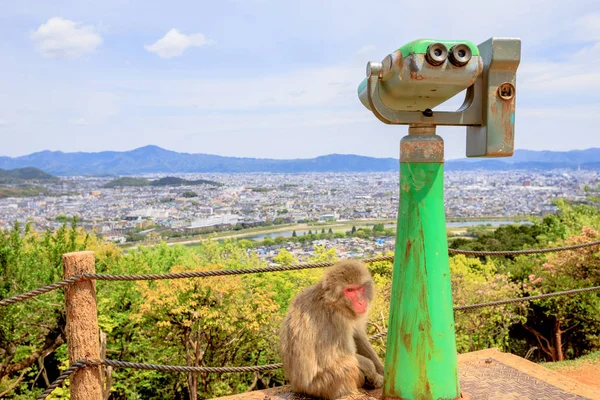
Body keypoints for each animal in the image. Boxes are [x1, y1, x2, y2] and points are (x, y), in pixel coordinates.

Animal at [278, 258, 382, 398]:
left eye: (360, 288)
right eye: (349, 290)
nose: (361, 302)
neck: (335, 304)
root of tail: (297, 386)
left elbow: (358, 336)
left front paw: (382, 369)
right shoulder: (336, 321)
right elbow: (334, 357)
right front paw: (373, 371)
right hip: (321, 386)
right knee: (348, 368)